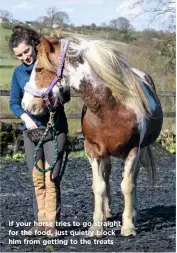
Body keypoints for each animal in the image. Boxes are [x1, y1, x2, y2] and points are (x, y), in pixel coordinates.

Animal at [21, 35, 163, 237]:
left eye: (39, 69)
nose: (26, 104)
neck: (109, 108)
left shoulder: (133, 150)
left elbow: (127, 186)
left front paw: (128, 226)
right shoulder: (93, 150)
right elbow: (98, 186)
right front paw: (97, 226)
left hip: (139, 150)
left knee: (132, 179)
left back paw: (133, 214)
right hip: (106, 153)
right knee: (107, 175)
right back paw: (107, 213)